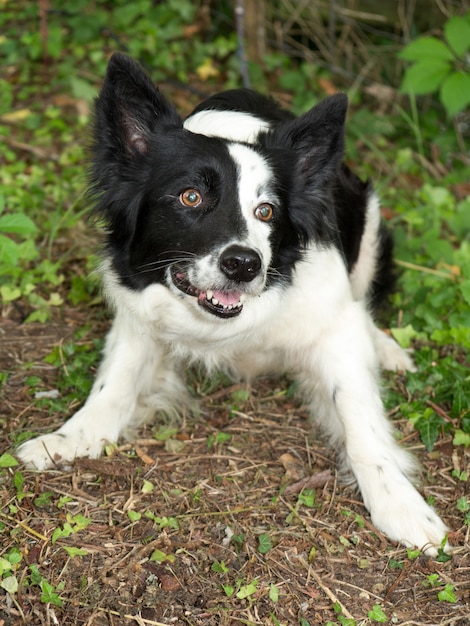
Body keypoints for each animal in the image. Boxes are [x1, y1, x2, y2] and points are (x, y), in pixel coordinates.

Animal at [18, 52, 448, 552]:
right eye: (190, 196)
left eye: (267, 211)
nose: (244, 264)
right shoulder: (138, 312)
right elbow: (114, 384)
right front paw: (71, 437)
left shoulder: (334, 322)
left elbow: (360, 421)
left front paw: (399, 503)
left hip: (368, 215)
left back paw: (387, 348)